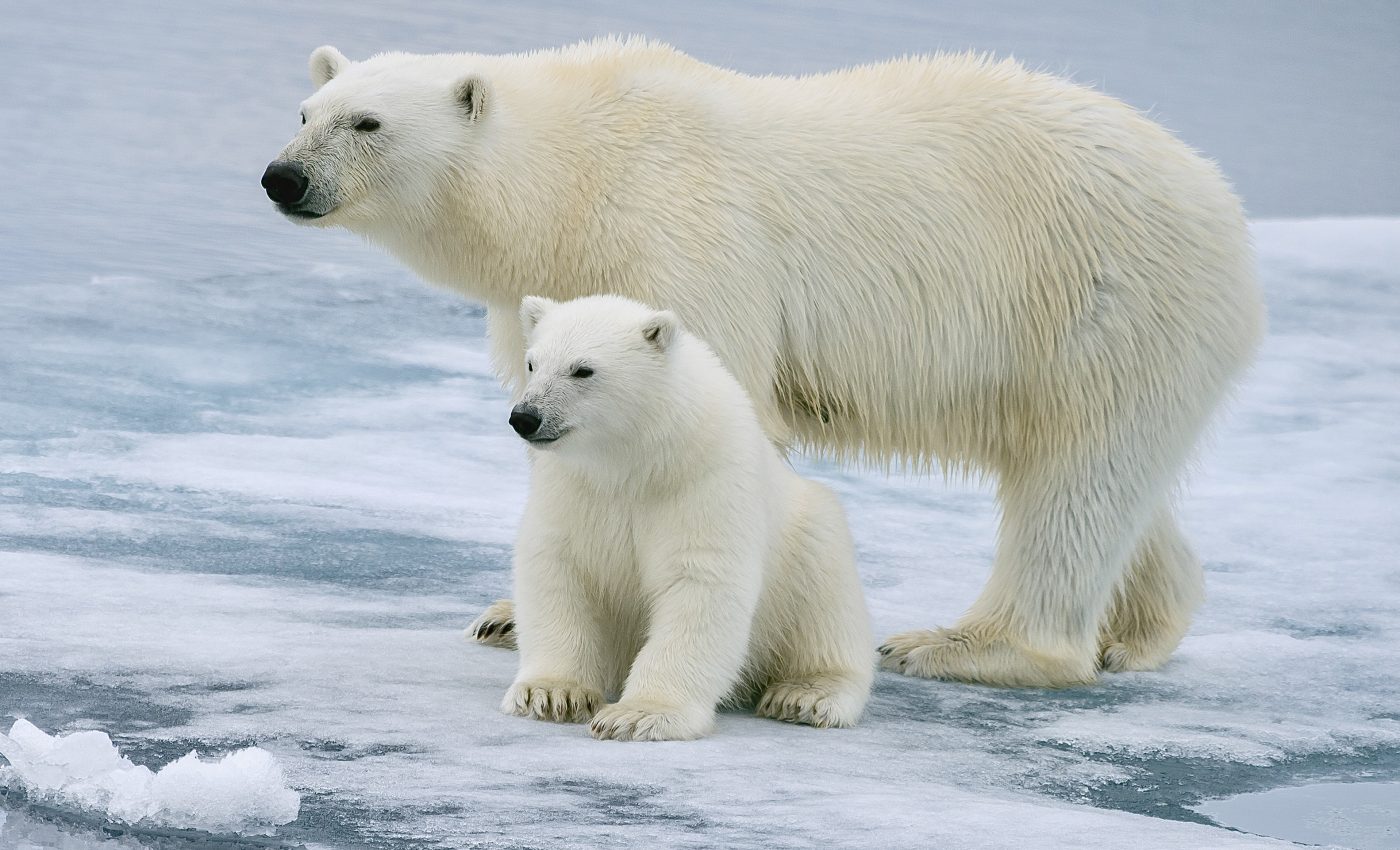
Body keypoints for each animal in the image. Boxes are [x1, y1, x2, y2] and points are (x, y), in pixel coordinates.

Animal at [264, 38, 1265, 688]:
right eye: (306, 111)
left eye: (367, 122)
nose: (283, 178)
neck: (574, 177)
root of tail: (1218, 194)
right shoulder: (542, 290)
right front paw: (508, 613)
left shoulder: (677, 239)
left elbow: (713, 415)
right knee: (1106, 474)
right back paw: (1136, 634)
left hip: (1101, 297)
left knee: (1076, 477)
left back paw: (965, 647)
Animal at [499, 294, 873, 741]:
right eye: (532, 363)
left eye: (583, 369)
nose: (525, 417)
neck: (635, 462)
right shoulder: (573, 488)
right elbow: (557, 567)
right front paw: (552, 693)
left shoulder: (705, 481)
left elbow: (700, 583)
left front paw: (639, 714)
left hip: (810, 538)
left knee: (825, 605)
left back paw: (804, 694)